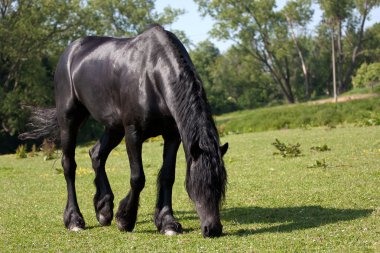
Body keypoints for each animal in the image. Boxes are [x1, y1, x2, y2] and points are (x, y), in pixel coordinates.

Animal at [21, 24, 229, 236]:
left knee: (96, 154)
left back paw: (103, 209)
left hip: (113, 127)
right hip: (69, 120)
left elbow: (167, 176)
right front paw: (125, 219)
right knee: (69, 165)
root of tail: (70, 52)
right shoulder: (133, 133)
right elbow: (137, 178)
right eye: (198, 184)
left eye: (221, 184)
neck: (152, 74)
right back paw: (74, 219)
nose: (213, 228)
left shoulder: (172, 135)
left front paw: (167, 222)